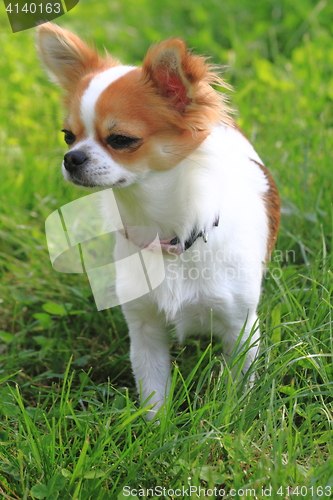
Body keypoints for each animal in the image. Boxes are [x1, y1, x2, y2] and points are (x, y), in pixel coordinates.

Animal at [37, 25, 278, 420]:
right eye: (67, 136)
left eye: (121, 139)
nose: (71, 158)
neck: (167, 233)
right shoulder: (145, 327)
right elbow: (153, 388)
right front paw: (156, 427)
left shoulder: (241, 327)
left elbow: (237, 387)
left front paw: (231, 417)